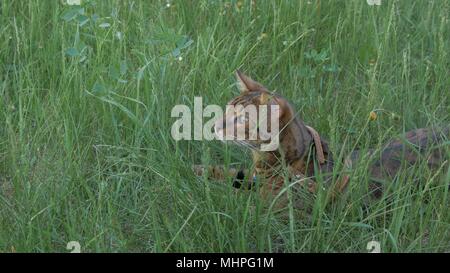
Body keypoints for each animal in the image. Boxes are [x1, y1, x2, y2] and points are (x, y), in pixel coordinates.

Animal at [192, 70, 446, 208]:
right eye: (226, 110)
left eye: (242, 119)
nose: (214, 127)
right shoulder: (252, 175)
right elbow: (229, 172)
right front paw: (196, 170)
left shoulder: (269, 205)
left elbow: (229, 200)